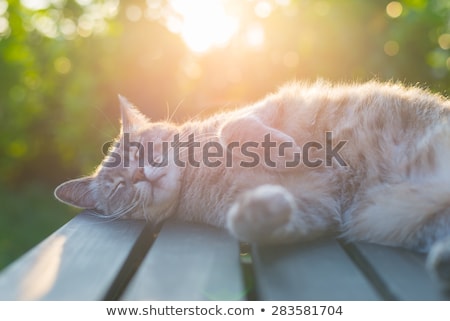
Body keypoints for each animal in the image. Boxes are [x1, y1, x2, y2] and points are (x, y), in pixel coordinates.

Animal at [55, 80, 450, 282]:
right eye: (118, 186)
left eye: (142, 150)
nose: (137, 174)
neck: (198, 176)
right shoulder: (321, 209)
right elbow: (253, 225)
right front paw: (259, 209)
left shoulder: (263, 107)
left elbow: (235, 126)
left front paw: (287, 149)